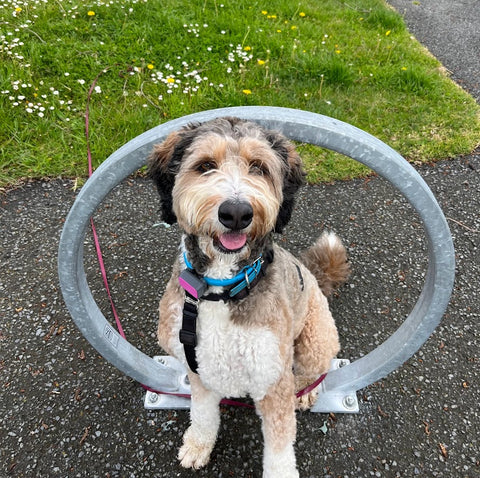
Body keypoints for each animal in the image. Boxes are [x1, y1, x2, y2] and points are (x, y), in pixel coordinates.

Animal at [146, 116, 348, 478]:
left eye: (259, 168)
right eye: (205, 166)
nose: (237, 212)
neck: (222, 290)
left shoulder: (273, 380)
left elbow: (280, 449)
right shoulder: (199, 368)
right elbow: (203, 414)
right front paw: (198, 446)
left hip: (315, 340)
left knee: (313, 371)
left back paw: (305, 392)